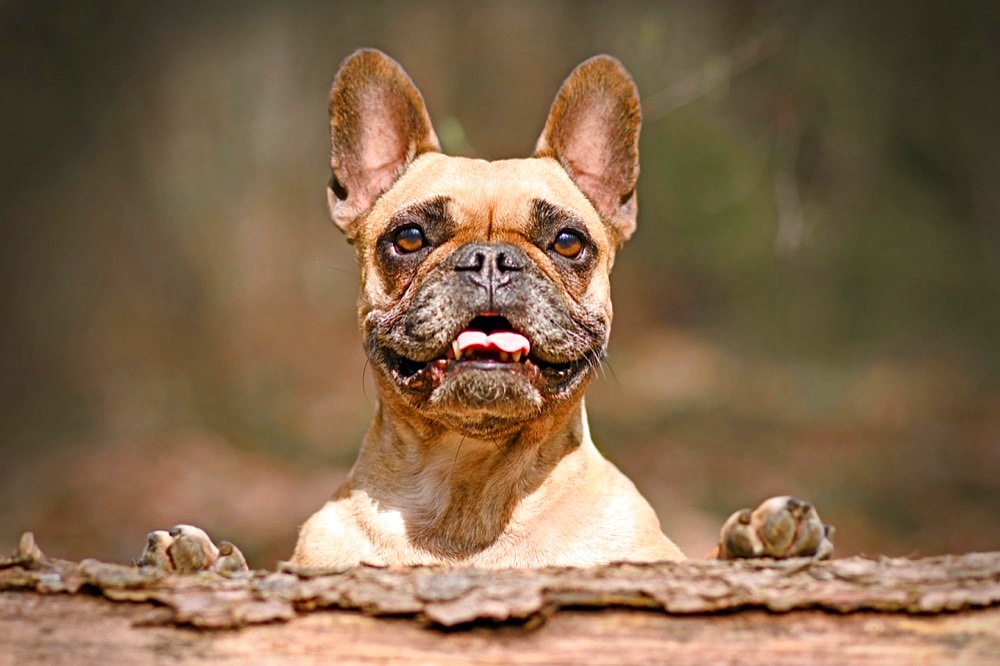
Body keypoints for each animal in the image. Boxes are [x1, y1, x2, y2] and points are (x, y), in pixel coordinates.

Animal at [137, 50, 832, 572]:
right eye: (409, 237)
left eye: (568, 241)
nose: (491, 259)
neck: (471, 489)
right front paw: (196, 562)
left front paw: (760, 543)